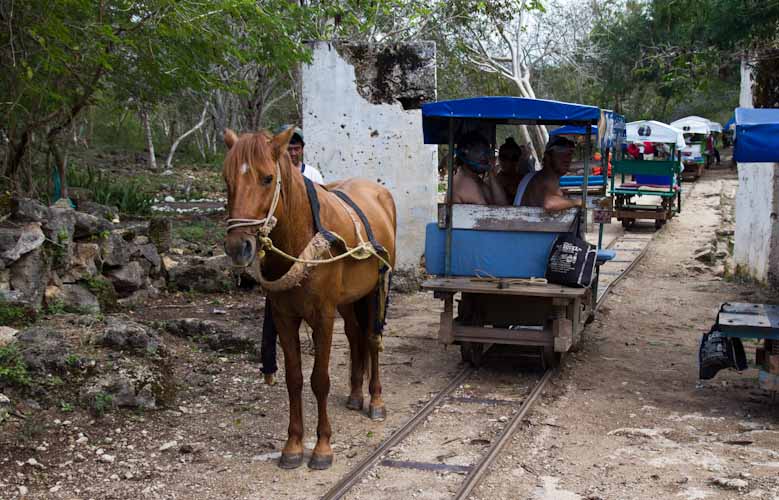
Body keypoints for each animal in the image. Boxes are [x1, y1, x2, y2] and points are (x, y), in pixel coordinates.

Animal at [224, 127, 396, 470]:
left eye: (267, 178)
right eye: (227, 180)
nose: (238, 247)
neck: (302, 237)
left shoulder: (323, 316)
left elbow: (320, 380)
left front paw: (322, 447)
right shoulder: (284, 317)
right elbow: (294, 379)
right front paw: (292, 445)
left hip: (374, 291)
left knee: (372, 339)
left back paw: (375, 399)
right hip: (349, 299)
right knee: (355, 335)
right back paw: (356, 394)